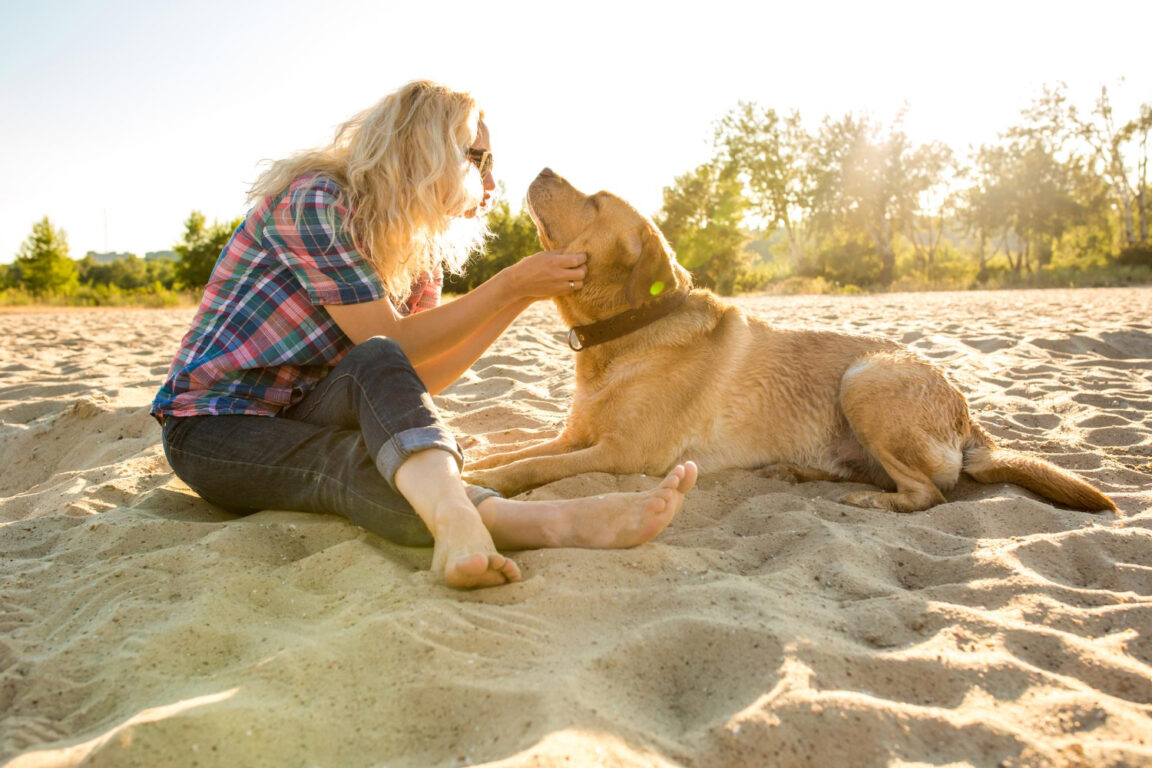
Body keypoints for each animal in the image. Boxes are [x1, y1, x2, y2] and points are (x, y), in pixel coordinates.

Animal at [463, 171, 1119, 513]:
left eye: (596, 202)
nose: (543, 170)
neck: (627, 333)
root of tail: (970, 420)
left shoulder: (623, 455)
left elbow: (532, 468)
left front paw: (490, 483)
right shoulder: (574, 436)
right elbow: (514, 452)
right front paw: (477, 463)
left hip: (867, 379)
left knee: (927, 492)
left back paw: (869, 503)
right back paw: (800, 475)